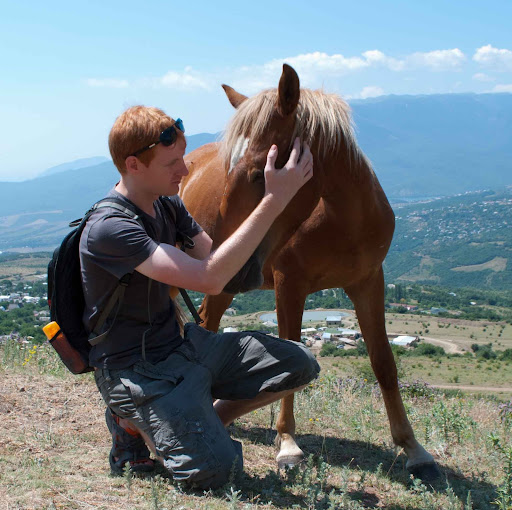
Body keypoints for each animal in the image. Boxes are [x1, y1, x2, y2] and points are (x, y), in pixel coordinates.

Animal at [180, 64, 440, 482]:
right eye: (227, 172)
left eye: (260, 174)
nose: (220, 258)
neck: (342, 219)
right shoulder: (290, 286)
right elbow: (292, 347)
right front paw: (287, 443)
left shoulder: (370, 282)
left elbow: (384, 362)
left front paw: (413, 448)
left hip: (228, 288)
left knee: (207, 320)